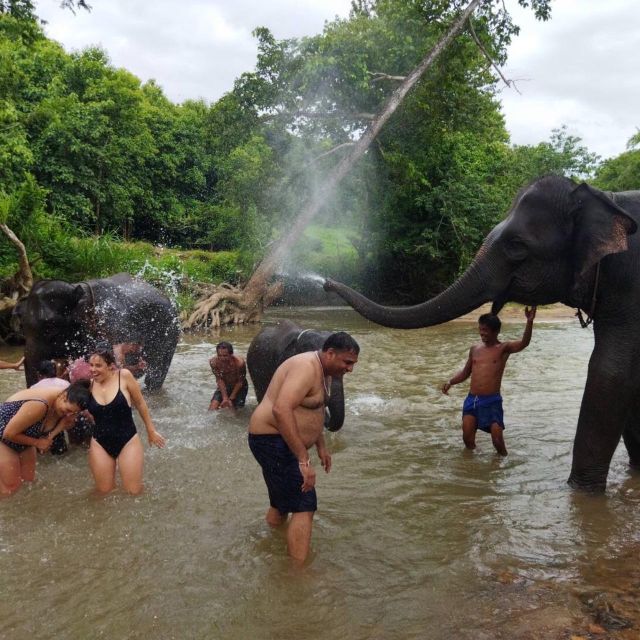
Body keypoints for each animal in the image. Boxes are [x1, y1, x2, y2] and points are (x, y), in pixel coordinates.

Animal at [324, 176, 640, 496]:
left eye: (516, 245)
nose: (325, 282)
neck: (604, 198)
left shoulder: (628, 285)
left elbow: (610, 373)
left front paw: (581, 494)